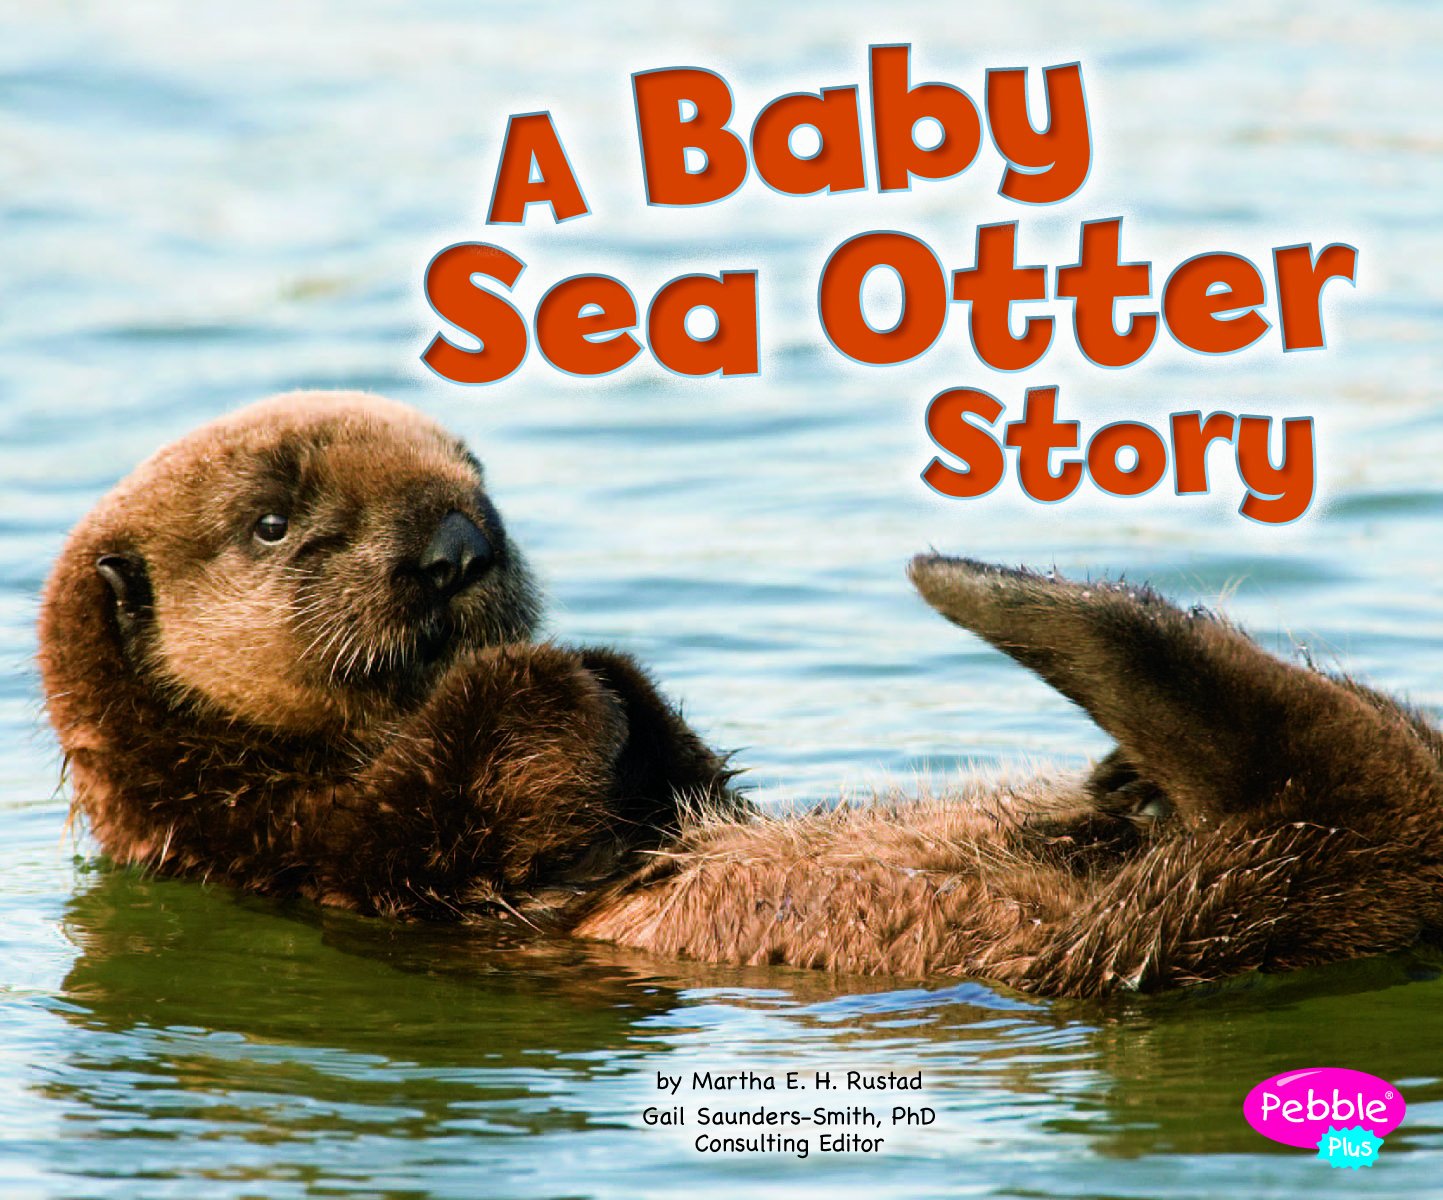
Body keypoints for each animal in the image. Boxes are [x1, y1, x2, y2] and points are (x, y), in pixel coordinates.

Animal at [39, 391, 1443, 997]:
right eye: (273, 523)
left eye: (475, 472)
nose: (459, 542)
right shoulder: (318, 855)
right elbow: (467, 815)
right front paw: (556, 682)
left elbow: (690, 773)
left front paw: (615, 678)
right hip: (1212, 913)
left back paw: (1118, 784)